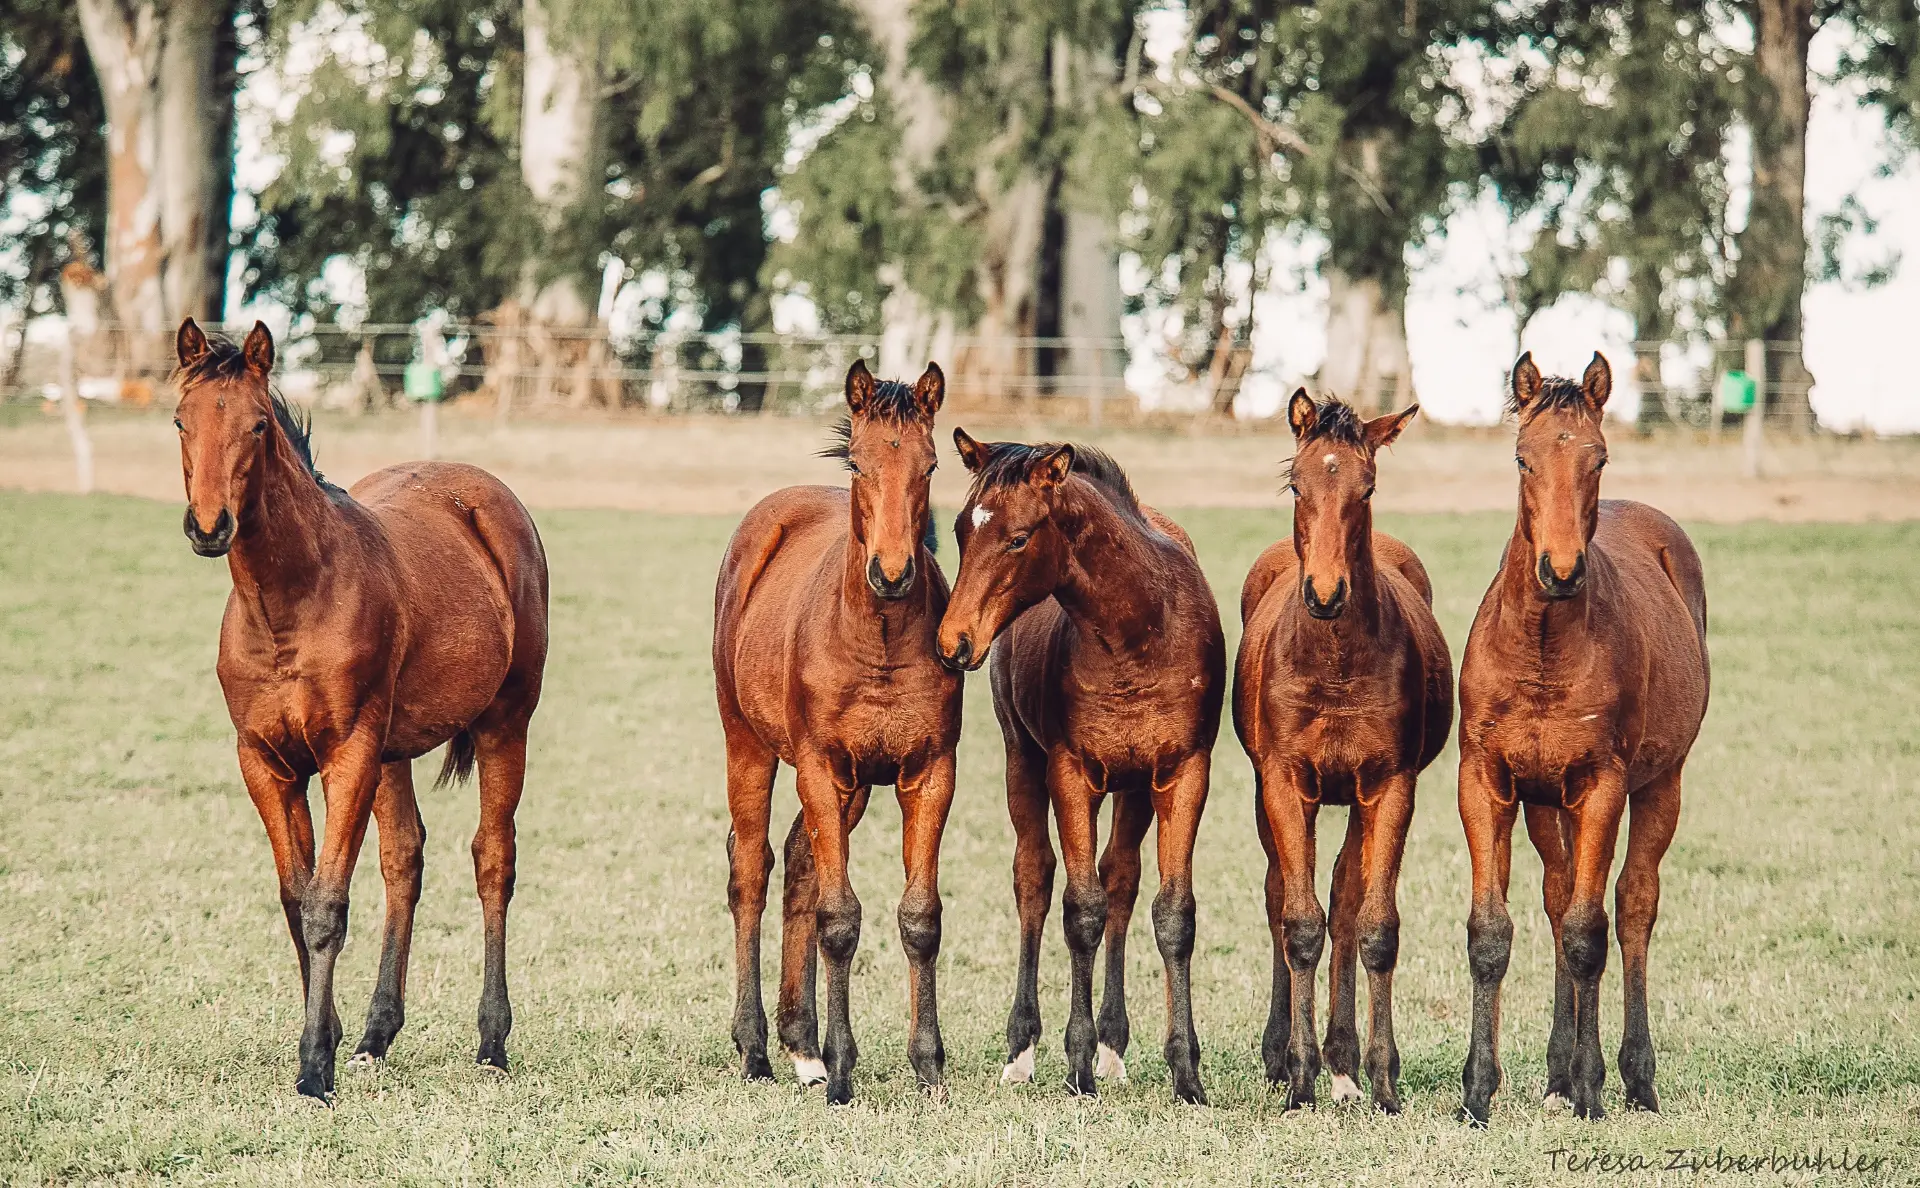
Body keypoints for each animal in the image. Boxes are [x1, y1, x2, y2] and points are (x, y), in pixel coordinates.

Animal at [172, 320, 552, 1097]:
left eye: (258, 425)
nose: (209, 526)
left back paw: (492, 1042)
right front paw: (333, 1037)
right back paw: (378, 1036)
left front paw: (314, 1066)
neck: (289, 605)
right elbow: (297, 899)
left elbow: (326, 905)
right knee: (403, 859)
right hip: (394, 753)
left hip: (504, 723)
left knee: (493, 859)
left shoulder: (347, 750)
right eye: (179, 421)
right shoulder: (266, 761)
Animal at [714, 355, 960, 1105]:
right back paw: (756, 1048)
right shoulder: (821, 766)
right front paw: (845, 1069)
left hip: (849, 789)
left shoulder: (928, 774)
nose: (892, 573)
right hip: (750, 745)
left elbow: (919, 916)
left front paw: (927, 1066)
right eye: (857, 463)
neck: (875, 641)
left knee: (798, 861)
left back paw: (801, 1047)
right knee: (751, 869)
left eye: (931, 464)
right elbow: (840, 918)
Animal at [936, 433, 1221, 1105]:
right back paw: (1022, 1051)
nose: (953, 642)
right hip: (1023, 759)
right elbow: (1079, 909)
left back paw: (1115, 1045)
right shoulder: (1071, 773)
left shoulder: (1184, 772)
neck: (1138, 631)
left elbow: (1172, 914)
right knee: (1034, 880)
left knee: (1121, 879)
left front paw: (1186, 1074)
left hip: (1135, 789)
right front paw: (1078, 1064)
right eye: (960, 529)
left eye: (1018, 538)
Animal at [1236, 389, 1443, 1113]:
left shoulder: (1389, 784)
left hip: (1353, 799)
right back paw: (1284, 1056)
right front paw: (1298, 1079)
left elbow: (1374, 925)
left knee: (1347, 901)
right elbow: (1299, 922)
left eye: (1367, 485)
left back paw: (1346, 1063)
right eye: (1297, 484)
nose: (1325, 594)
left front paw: (1381, 1080)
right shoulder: (1283, 781)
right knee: (1282, 894)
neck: (1335, 663)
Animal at [1451, 351, 1712, 1128]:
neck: (1543, 647)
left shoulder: (1601, 787)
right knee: (1559, 892)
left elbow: (1587, 933)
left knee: (1632, 906)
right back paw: (1556, 1074)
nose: (1560, 571)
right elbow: (1493, 932)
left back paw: (1634, 1079)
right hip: (1547, 803)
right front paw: (1478, 1092)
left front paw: (1593, 1089)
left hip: (1660, 786)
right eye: (1522, 457)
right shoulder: (1487, 781)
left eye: (1598, 458)